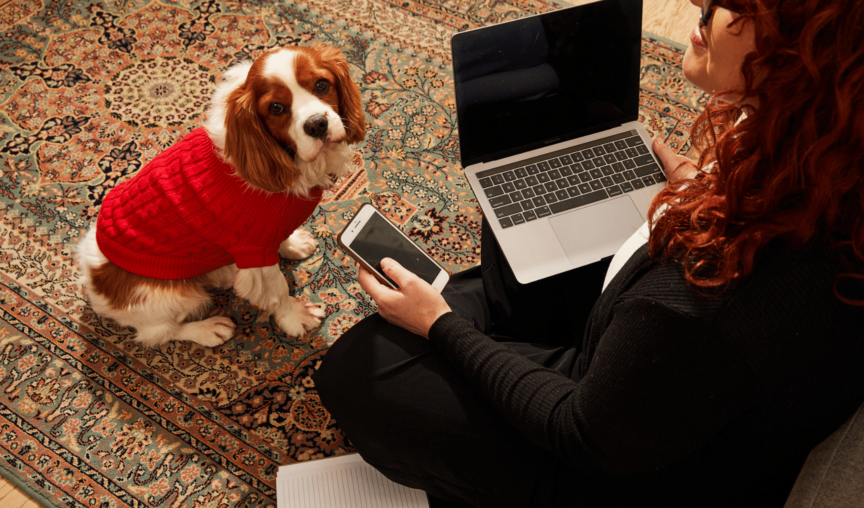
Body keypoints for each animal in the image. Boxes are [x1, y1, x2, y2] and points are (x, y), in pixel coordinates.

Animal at [75, 45, 368, 350]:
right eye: (276, 108)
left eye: (322, 85)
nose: (317, 124)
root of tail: (91, 280)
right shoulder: (253, 250)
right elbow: (277, 291)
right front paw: (295, 316)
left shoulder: (266, 233)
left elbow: (281, 238)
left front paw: (293, 244)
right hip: (171, 296)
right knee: (158, 333)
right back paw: (208, 329)